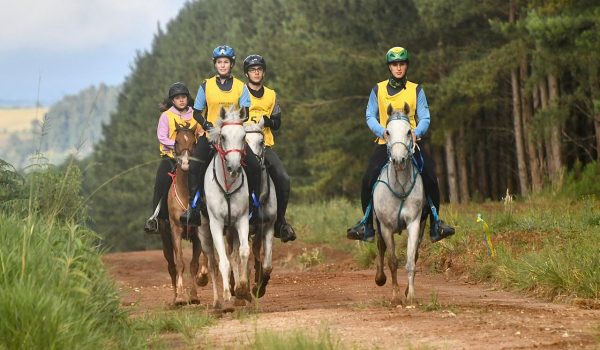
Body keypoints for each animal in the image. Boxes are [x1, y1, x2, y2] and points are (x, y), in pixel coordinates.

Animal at [161, 121, 210, 304]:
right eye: (176, 142)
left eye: (194, 142)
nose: (186, 163)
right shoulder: (175, 230)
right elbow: (180, 263)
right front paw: (181, 297)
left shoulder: (198, 232)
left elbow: (195, 264)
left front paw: (195, 293)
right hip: (165, 237)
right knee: (171, 266)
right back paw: (175, 298)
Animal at [198, 105, 252, 308]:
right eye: (223, 136)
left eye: (244, 136)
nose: (234, 167)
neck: (227, 185)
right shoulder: (216, 224)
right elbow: (223, 262)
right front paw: (227, 294)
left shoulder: (241, 220)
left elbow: (243, 253)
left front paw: (242, 289)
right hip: (204, 232)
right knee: (213, 263)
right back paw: (217, 301)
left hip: (232, 231)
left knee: (234, 256)